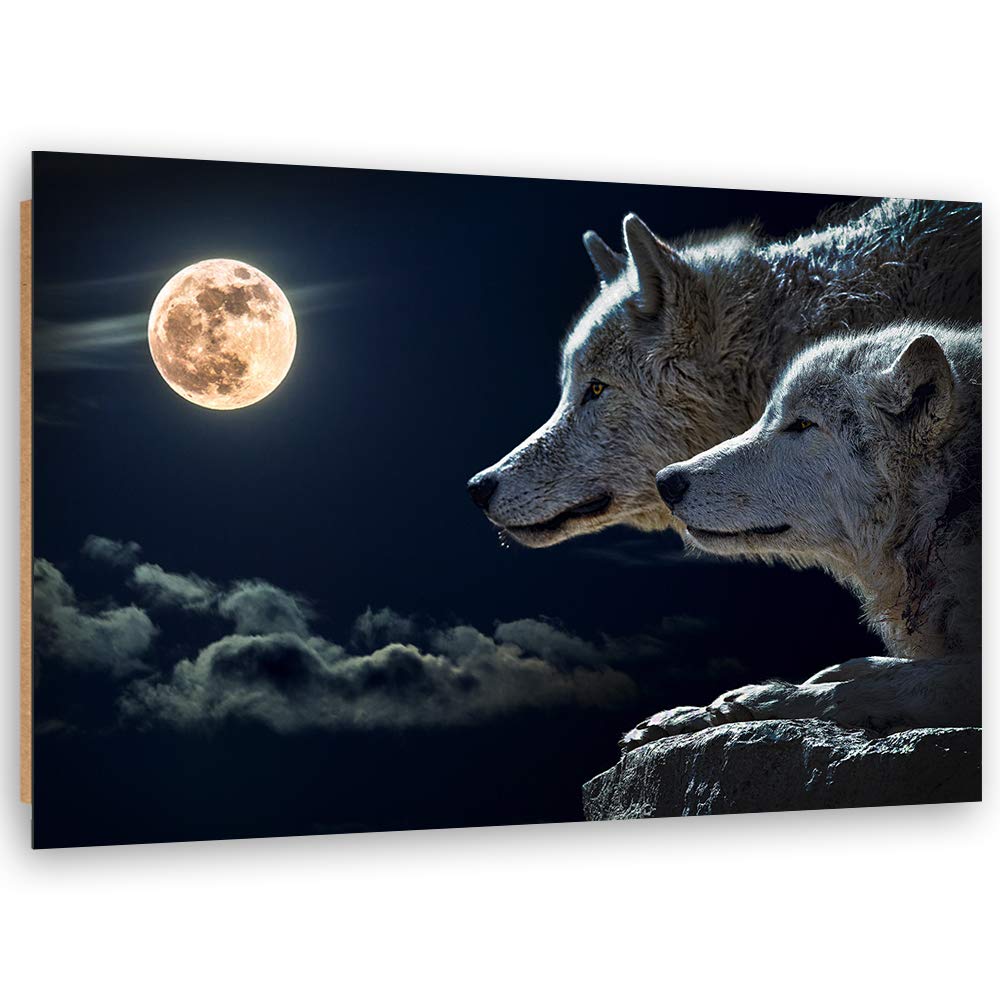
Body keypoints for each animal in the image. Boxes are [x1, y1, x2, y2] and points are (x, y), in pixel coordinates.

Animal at [620, 322, 981, 751]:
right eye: (767, 416)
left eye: (804, 424)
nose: (666, 481)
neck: (947, 507)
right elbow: (858, 666)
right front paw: (690, 714)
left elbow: (862, 687)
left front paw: (751, 701)